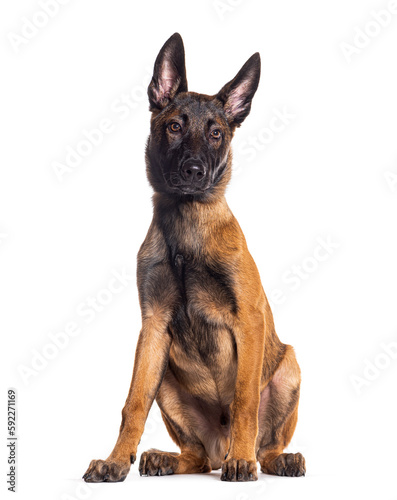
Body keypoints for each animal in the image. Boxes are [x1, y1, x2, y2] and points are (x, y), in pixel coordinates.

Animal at [82, 32, 304, 484]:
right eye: (174, 126)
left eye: (216, 133)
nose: (194, 170)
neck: (186, 229)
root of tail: (218, 447)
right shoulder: (153, 328)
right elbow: (133, 404)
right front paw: (115, 460)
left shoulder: (249, 321)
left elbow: (244, 400)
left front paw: (243, 461)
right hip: (167, 376)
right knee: (197, 456)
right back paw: (165, 458)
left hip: (290, 365)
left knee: (267, 446)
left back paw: (268, 458)